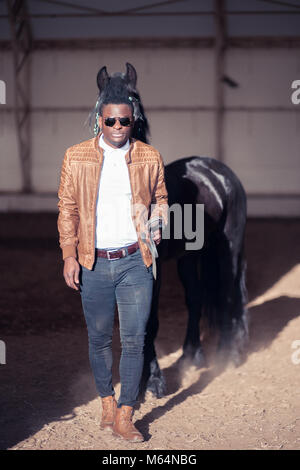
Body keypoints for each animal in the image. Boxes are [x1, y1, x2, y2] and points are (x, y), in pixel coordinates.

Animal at [94, 63, 248, 400]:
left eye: (133, 96)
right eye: (101, 102)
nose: (119, 123)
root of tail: (220, 172)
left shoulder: (155, 267)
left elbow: (149, 321)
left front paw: (153, 381)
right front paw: (140, 384)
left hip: (228, 247)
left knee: (229, 292)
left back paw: (228, 356)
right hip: (188, 258)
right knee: (197, 296)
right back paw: (193, 355)